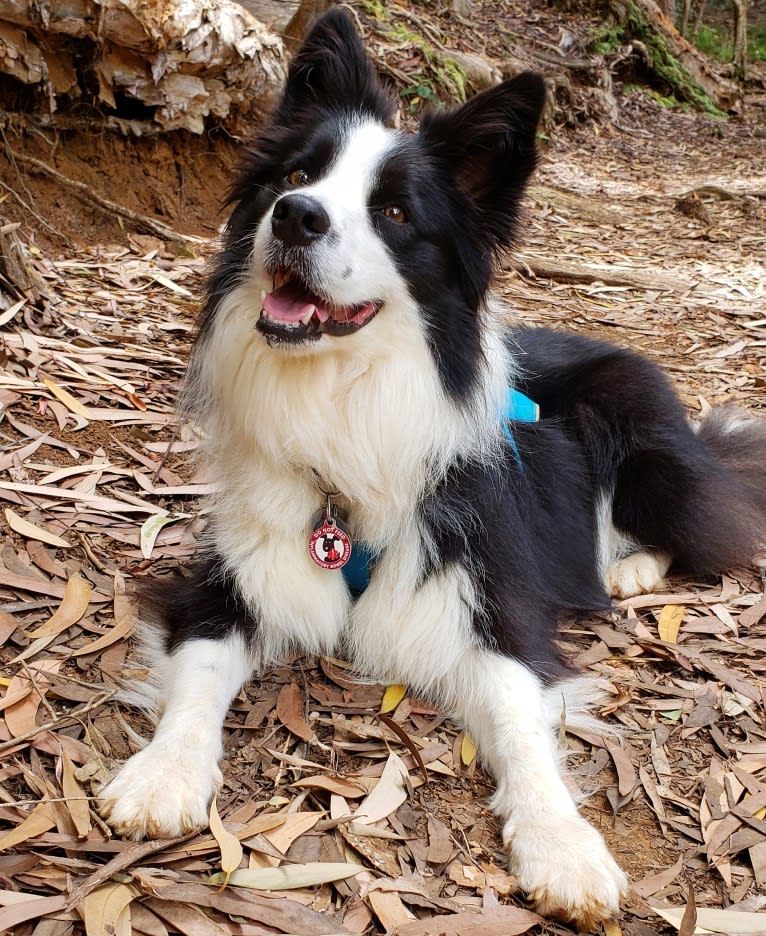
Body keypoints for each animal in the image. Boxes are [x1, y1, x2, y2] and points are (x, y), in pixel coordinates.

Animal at [99, 7, 766, 928]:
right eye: (297, 175)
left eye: (392, 211)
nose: (294, 217)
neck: (345, 410)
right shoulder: (233, 576)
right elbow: (198, 674)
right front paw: (163, 775)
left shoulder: (495, 604)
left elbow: (522, 725)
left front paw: (565, 849)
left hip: (646, 450)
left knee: (709, 522)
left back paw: (629, 568)